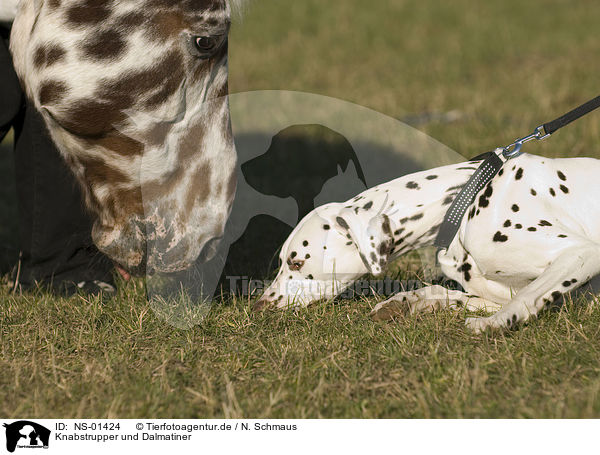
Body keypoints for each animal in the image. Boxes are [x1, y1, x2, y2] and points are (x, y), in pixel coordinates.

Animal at [255, 150, 600, 332]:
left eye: (297, 262)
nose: (259, 305)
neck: (465, 200)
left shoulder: (582, 254)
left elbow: (526, 298)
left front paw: (492, 324)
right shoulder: (498, 289)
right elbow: (452, 293)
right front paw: (406, 302)